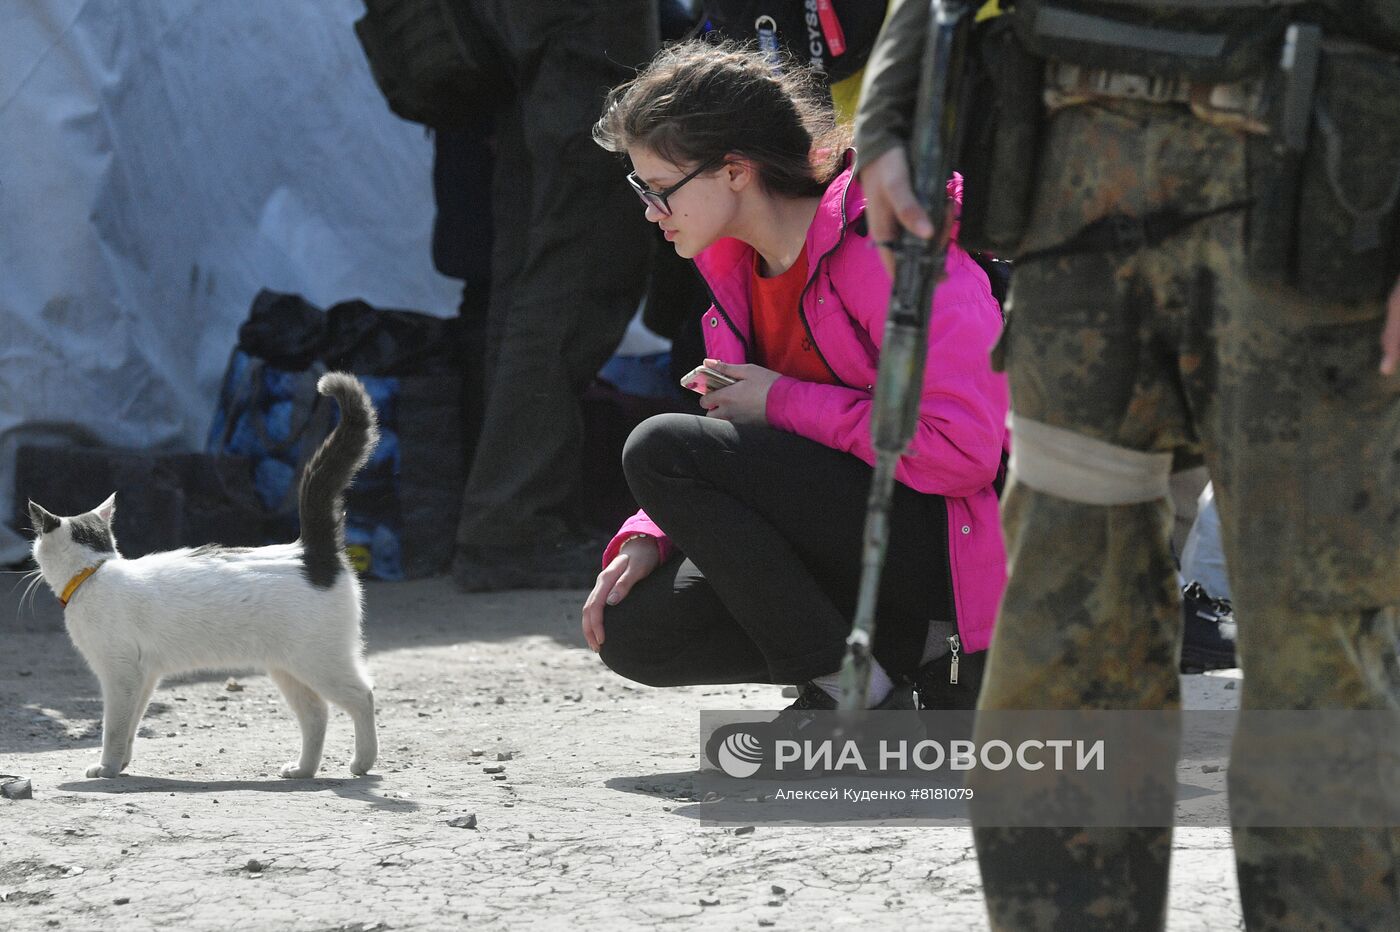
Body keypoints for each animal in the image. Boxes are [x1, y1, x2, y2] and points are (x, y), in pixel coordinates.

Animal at [32, 369, 380, 778]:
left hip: (318, 662)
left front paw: (107, 767)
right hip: (287, 668)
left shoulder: (120, 675)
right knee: (316, 714)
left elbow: (115, 727)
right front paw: (122, 763)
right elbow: (132, 725)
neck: (94, 570)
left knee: (363, 696)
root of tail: (309, 549)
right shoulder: (145, 676)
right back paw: (302, 770)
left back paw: (362, 761)